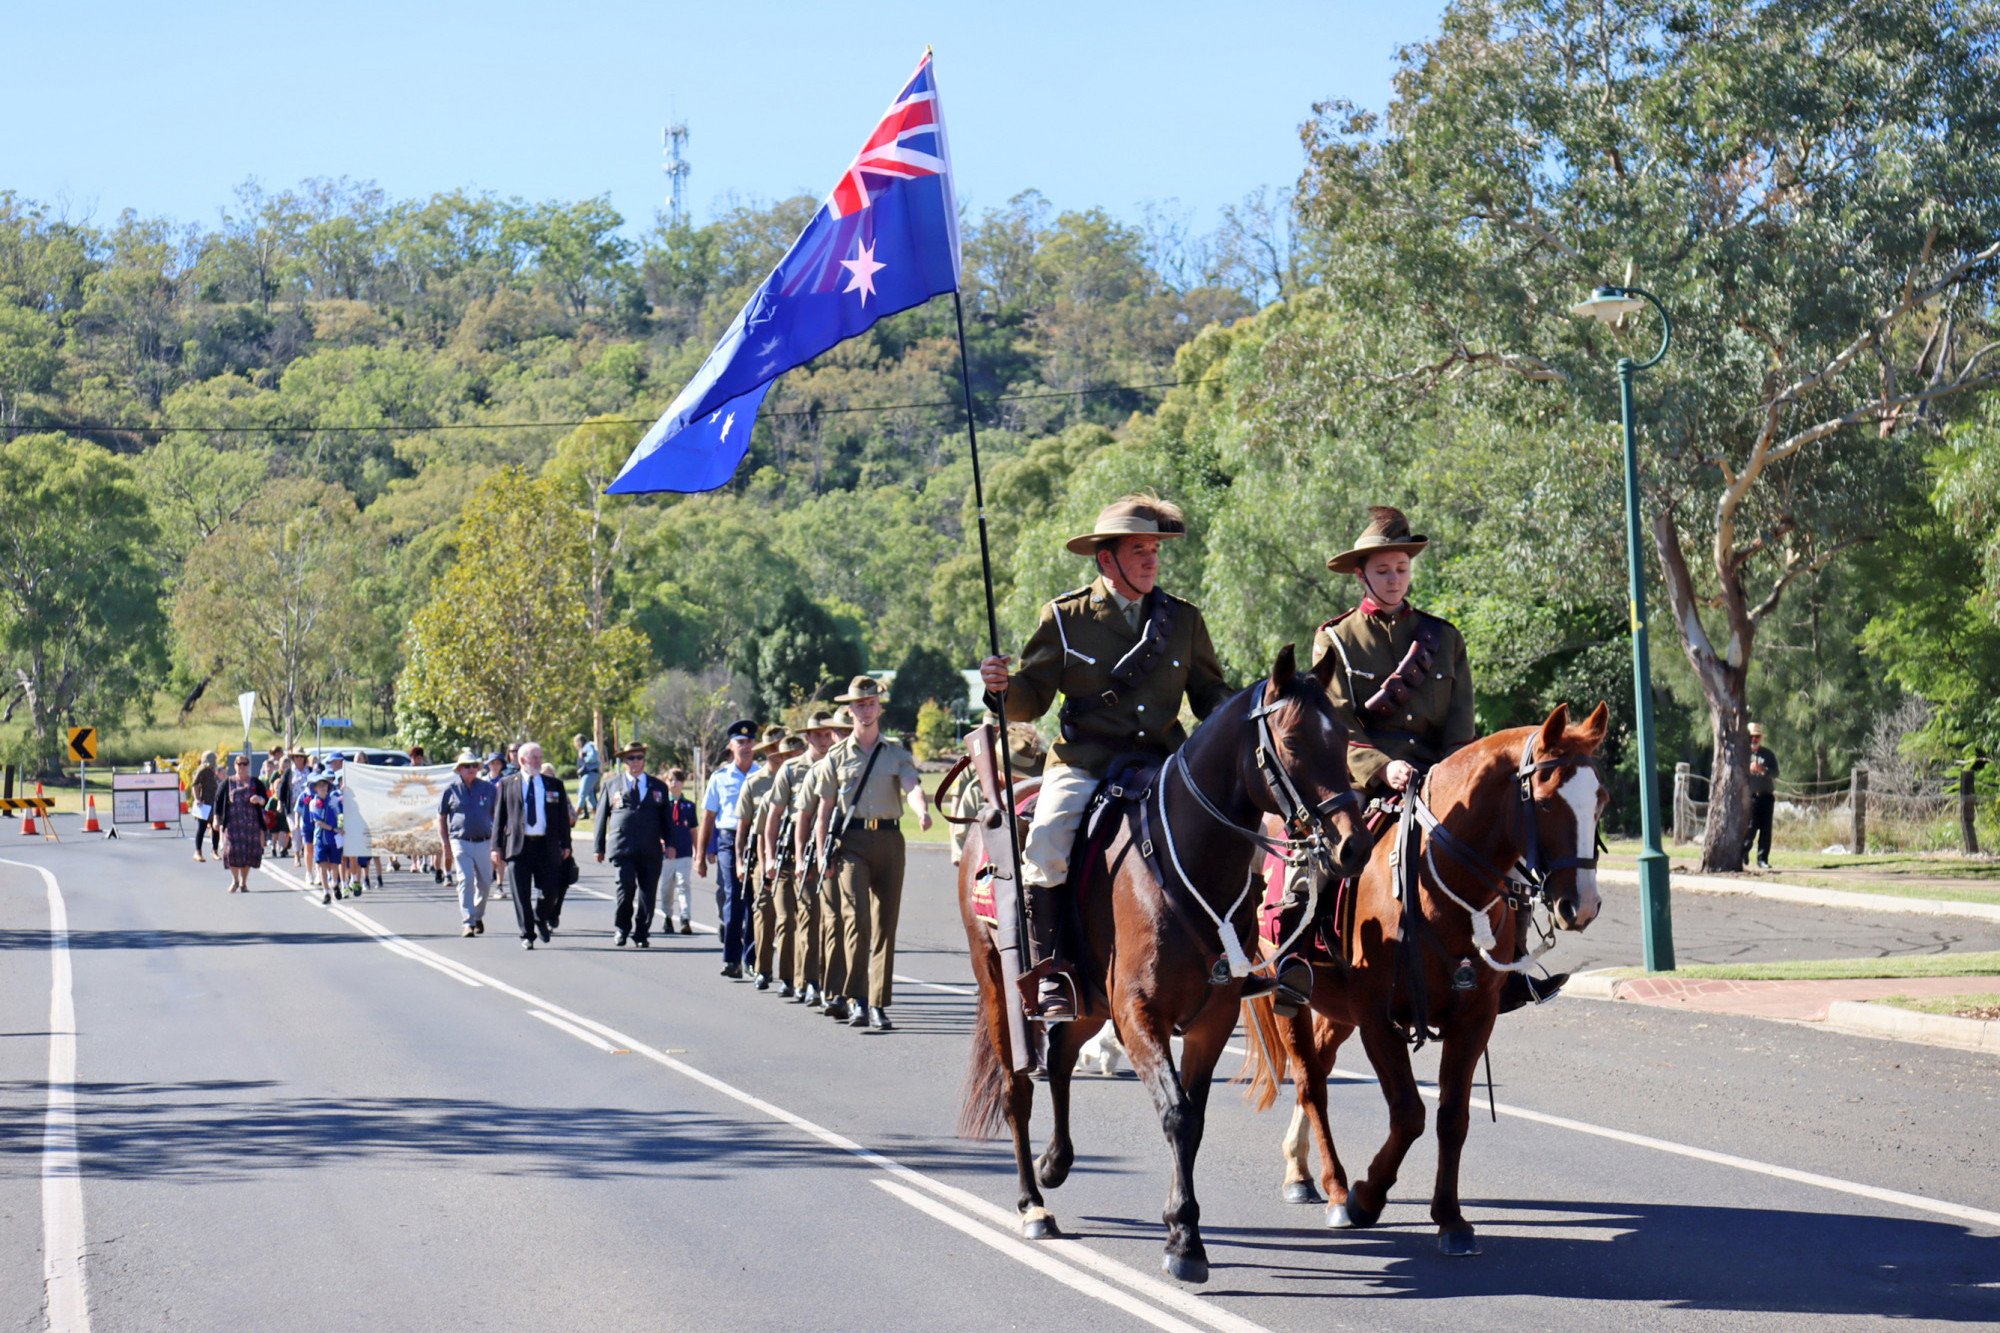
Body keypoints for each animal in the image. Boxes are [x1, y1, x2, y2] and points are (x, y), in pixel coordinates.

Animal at [956, 640, 1376, 1280]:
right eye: (1294, 740)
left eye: (1345, 735)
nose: (1354, 846)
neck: (1187, 863)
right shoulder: (1139, 1017)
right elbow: (1175, 1113)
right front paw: (1183, 1240)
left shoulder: (1209, 1020)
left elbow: (1193, 1118)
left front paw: (1185, 1230)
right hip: (1000, 988)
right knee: (1016, 1086)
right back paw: (1032, 1203)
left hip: (1086, 1000)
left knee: (1060, 1056)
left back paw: (1056, 1162)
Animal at [1240, 700, 1616, 1248]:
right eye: (1546, 803)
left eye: (1601, 801)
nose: (1581, 905)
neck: (1438, 884)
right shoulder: (1379, 1021)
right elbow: (1410, 1113)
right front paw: (1366, 1196)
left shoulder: (1475, 1019)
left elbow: (1451, 1116)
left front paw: (1451, 1218)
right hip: (1288, 995)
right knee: (1311, 1083)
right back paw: (1334, 1188)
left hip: (1338, 1010)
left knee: (1323, 1069)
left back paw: (1300, 1170)